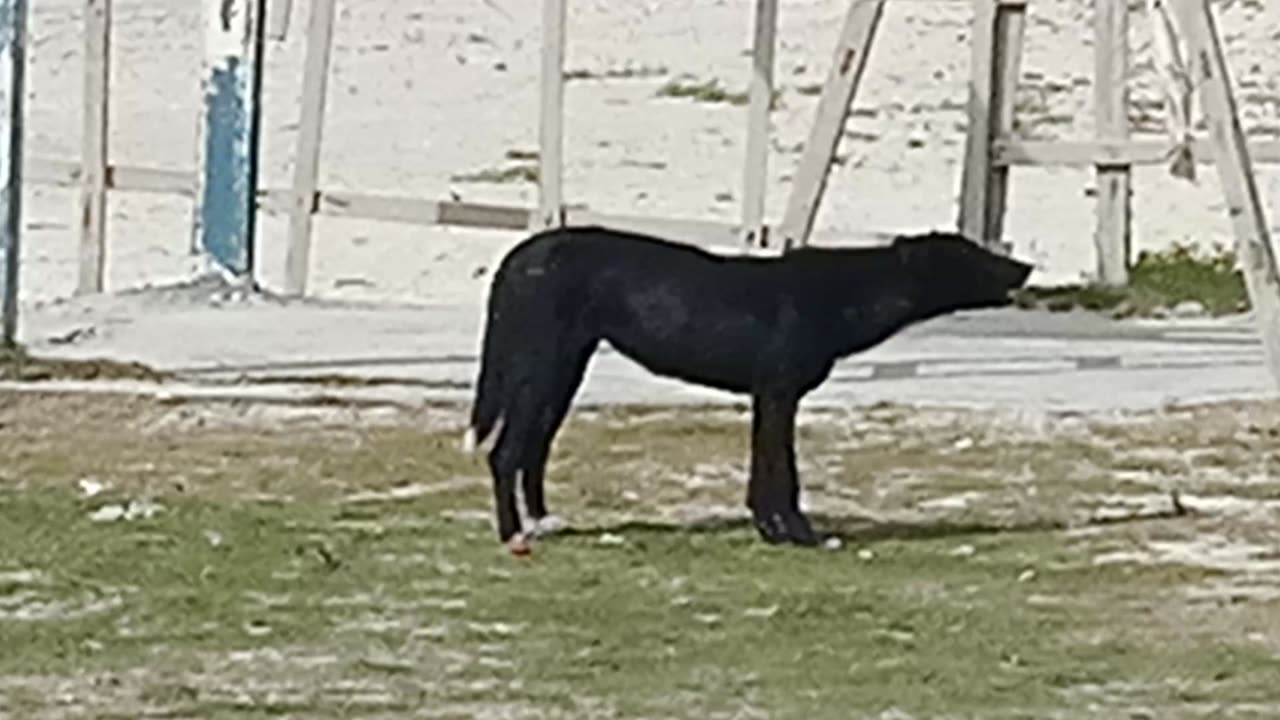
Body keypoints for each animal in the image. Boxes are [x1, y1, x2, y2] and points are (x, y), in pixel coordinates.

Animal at [465, 225, 1034, 548]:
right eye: (975, 255)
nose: (1026, 264)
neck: (851, 289)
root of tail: (517, 256)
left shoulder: (770, 397)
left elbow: (768, 472)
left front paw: (773, 531)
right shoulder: (778, 393)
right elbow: (781, 473)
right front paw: (796, 534)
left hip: (562, 372)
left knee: (532, 450)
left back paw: (543, 522)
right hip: (540, 368)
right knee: (505, 453)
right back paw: (513, 535)